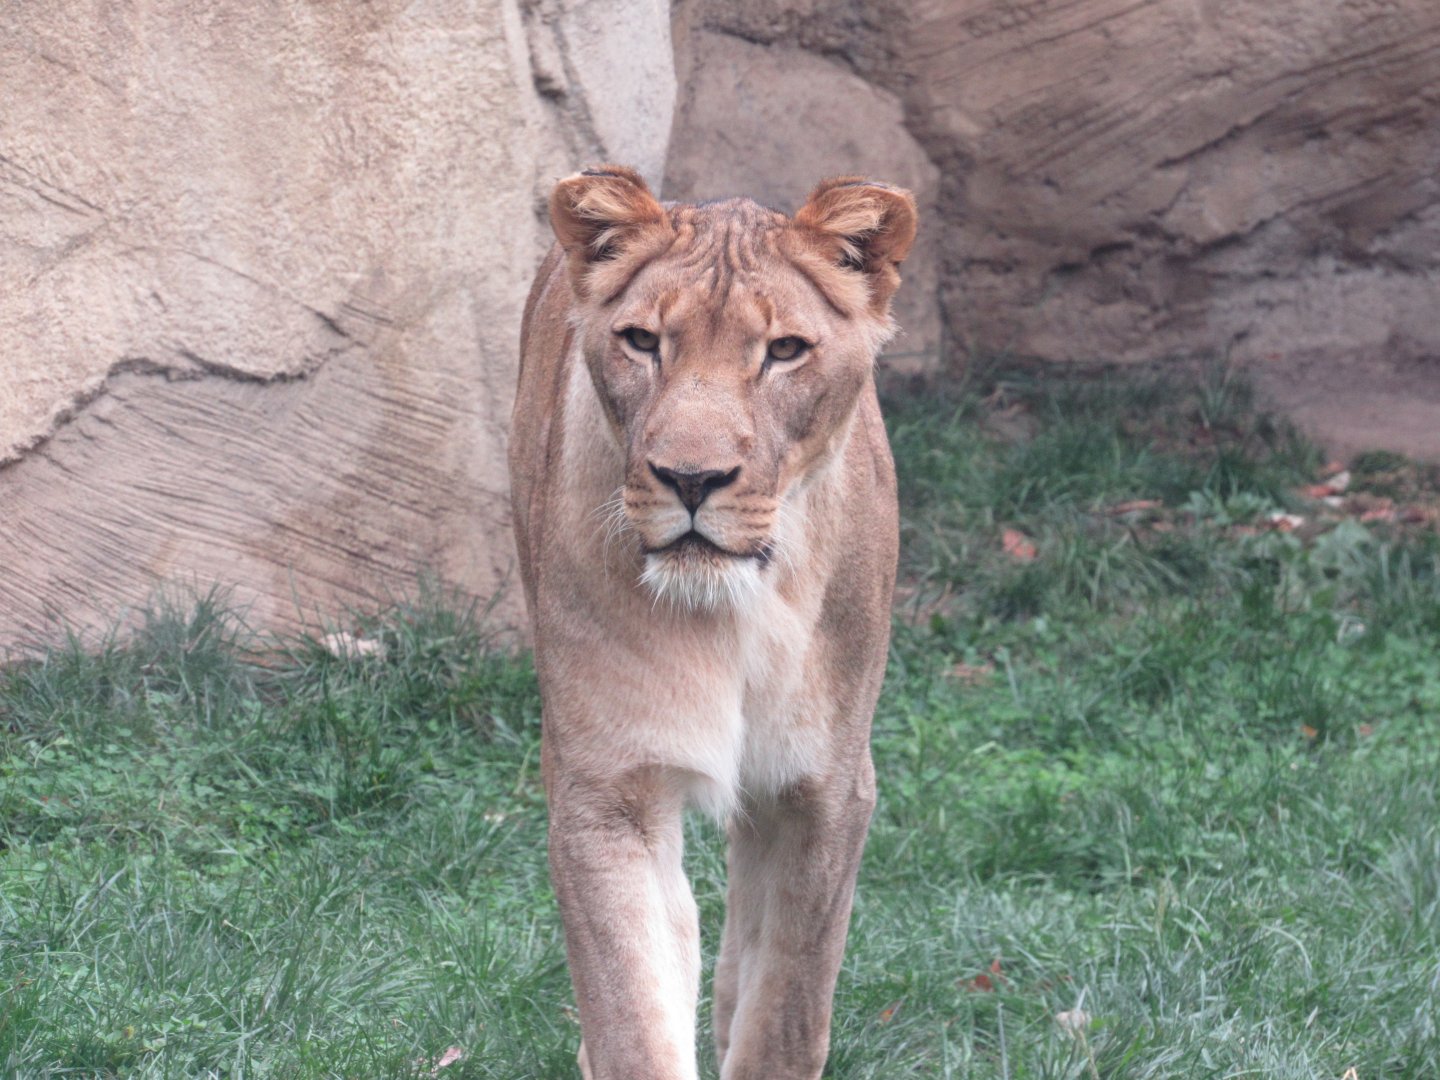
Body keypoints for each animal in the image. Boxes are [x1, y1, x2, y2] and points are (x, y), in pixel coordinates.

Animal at [508, 165, 916, 1080]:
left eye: (785, 351)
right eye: (641, 342)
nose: (691, 479)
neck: (735, 615)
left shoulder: (827, 786)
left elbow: (788, 1006)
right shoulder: (604, 789)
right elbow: (632, 1011)